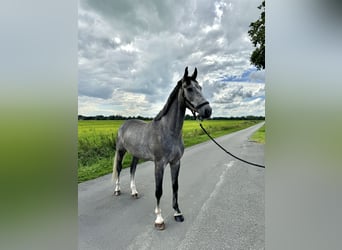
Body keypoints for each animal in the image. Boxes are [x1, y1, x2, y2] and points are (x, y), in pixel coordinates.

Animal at [112, 67, 211, 230]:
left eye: (200, 87)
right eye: (189, 88)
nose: (207, 110)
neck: (168, 131)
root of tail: (124, 124)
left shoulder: (176, 162)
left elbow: (175, 186)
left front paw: (177, 213)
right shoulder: (159, 164)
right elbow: (159, 191)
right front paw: (159, 219)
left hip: (136, 155)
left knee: (132, 170)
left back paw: (134, 192)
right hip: (121, 151)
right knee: (119, 169)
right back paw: (117, 190)